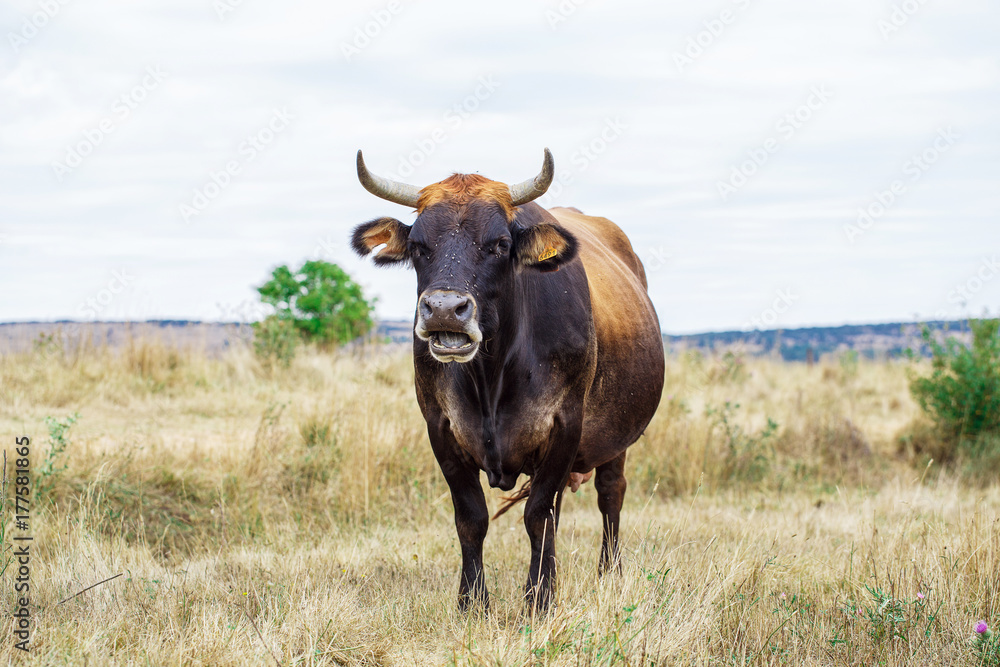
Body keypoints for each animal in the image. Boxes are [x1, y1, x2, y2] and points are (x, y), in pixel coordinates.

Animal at [350, 149, 664, 612]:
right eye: (419, 246)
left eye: (499, 244)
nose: (445, 310)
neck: (492, 377)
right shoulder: (441, 428)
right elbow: (471, 518)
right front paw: (472, 601)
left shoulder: (565, 425)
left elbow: (538, 516)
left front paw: (539, 598)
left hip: (617, 438)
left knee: (610, 494)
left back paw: (610, 573)